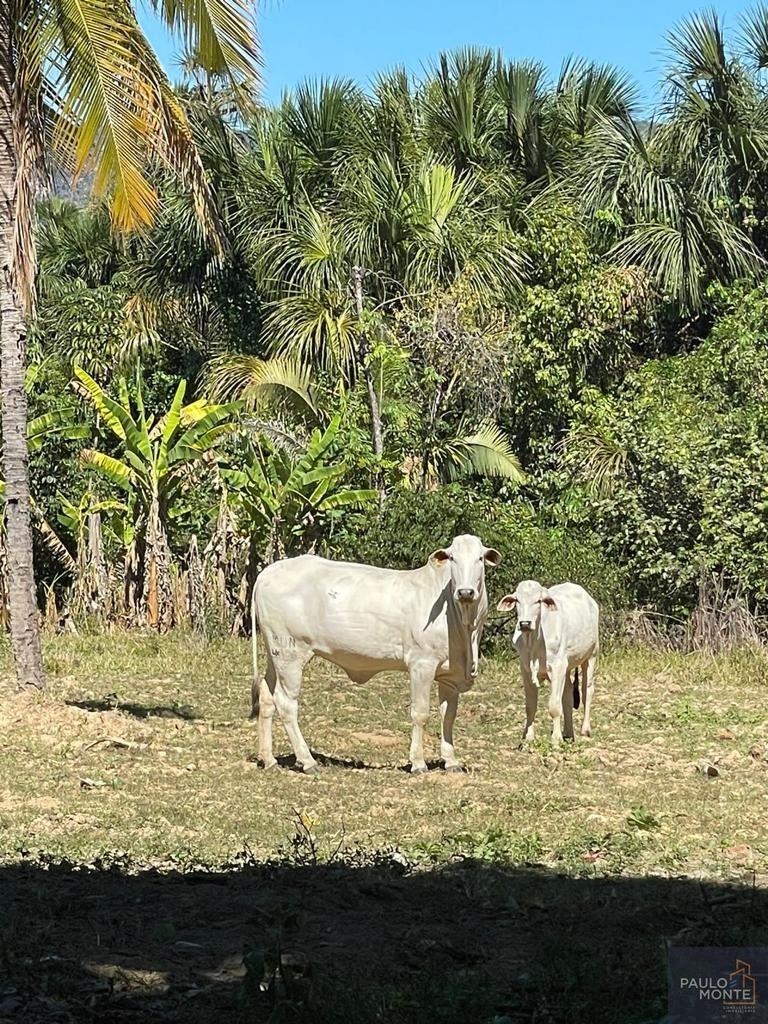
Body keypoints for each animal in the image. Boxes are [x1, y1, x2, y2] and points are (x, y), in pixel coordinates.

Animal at [250, 540, 505, 770]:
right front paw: (418, 762)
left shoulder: (450, 675)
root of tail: (267, 573)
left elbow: (448, 715)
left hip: (275, 655)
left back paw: (269, 759)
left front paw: (451, 761)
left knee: (267, 696)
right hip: (290, 654)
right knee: (286, 704)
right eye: (452, 558)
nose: (465, 592)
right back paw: (307, 761)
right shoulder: (421, 664)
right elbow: (420, 713)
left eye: (480, 558)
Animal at [499, 585, 602, 745]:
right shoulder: (526, 669)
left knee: (587, 691)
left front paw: (556, 739)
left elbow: (554, 706)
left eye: (538, 601)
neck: (534, 642)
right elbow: (530, 706)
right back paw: (568, 733)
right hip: (568, 666)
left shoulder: (557, 667)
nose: (525, 624)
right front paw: (528, 737)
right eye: (517, 600)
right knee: (567, 694)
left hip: (591, 655)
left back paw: (585, 730)